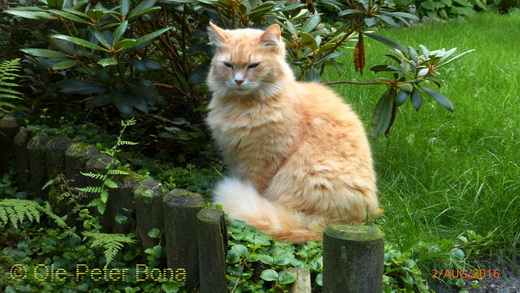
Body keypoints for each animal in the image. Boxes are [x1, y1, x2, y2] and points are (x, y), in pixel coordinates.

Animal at [205, 22, 380, 242]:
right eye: (228, 65)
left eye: (253, 66)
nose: (238, 81)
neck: (242, 107)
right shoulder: (236, 158)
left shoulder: (262, 162)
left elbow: (255, 189)